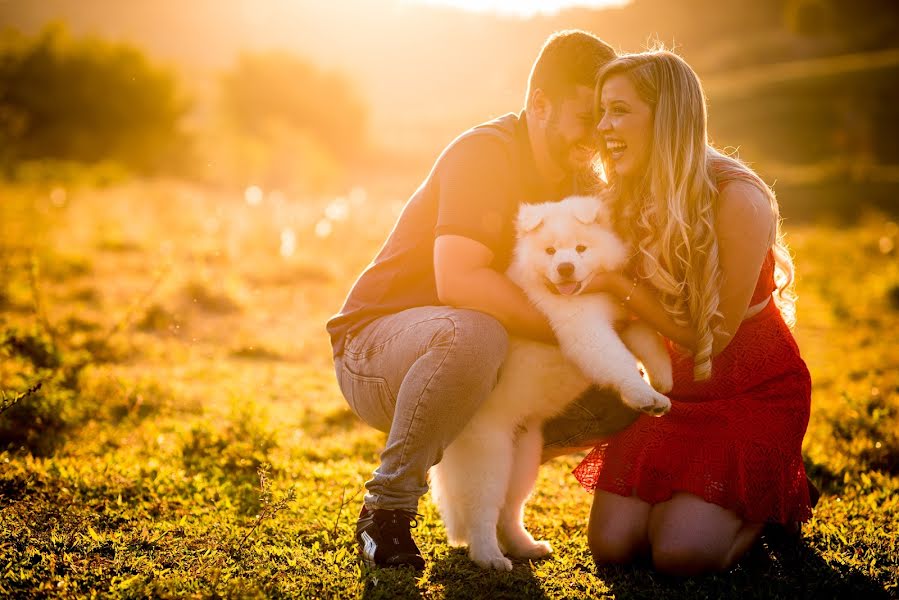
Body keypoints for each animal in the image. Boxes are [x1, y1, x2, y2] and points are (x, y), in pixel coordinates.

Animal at [432, 195, 672, 568]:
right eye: (550, 251)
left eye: (581, 248)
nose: (566, 268)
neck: (581, 294)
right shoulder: (584, 328)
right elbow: (616, 359)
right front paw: (643, 394)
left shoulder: (620, 314)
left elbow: (646, 335)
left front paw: (662, 374)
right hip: (488, 455)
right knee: (483, 511)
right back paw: (489, 557)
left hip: (524, 456)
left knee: (510, 509)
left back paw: (524, 547)